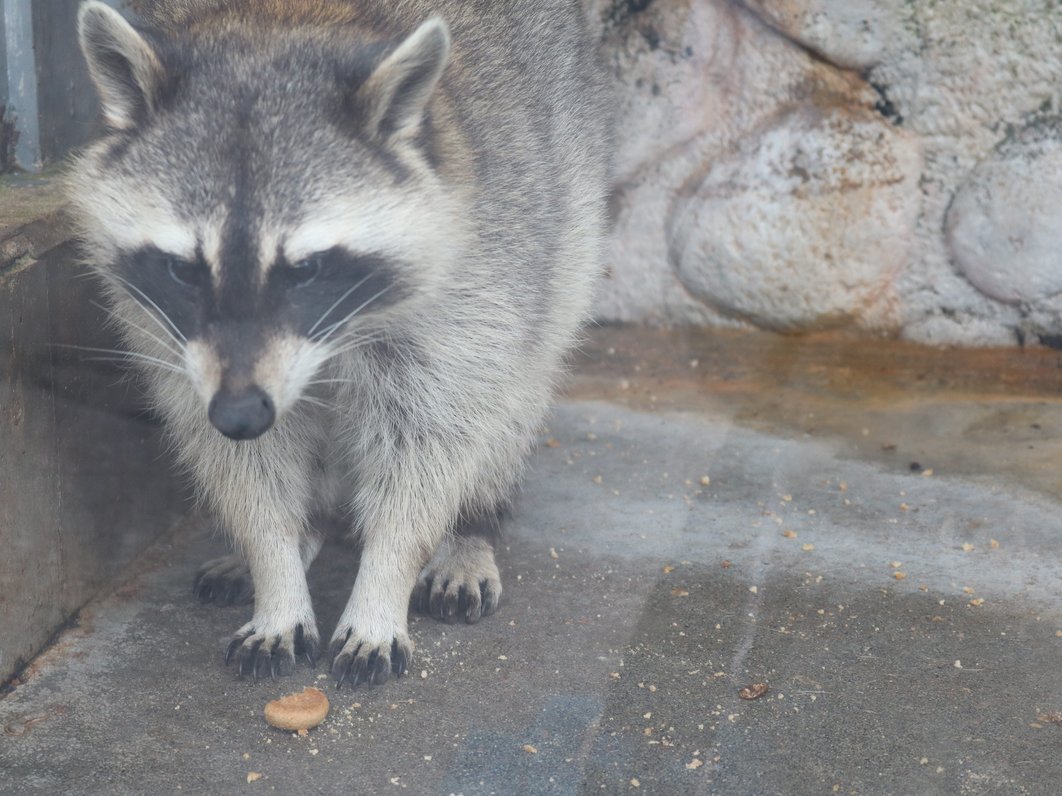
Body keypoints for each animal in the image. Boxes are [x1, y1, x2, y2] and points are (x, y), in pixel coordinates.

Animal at [68, 0, 607, 687]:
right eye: (184, 269)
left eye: (306, 269)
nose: (239, 414)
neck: (278, 26)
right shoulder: (169, 340)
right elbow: (244, 467)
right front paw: (274, 565)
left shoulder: (474, 273)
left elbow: (429, 445)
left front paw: (386, 579)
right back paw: (305, 532)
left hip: (561, 223)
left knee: (518, 387)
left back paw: (472, 526)